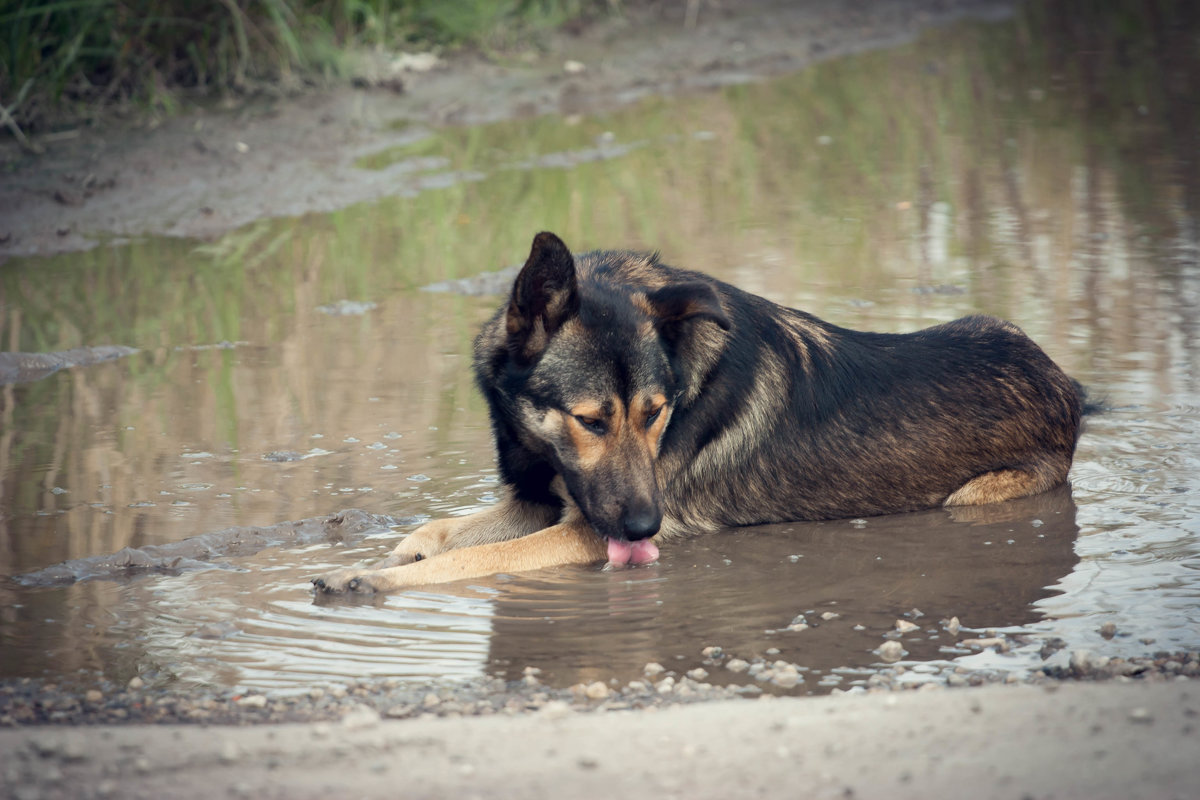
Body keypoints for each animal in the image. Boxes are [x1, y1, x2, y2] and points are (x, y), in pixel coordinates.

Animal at [314, 231, 1084, 594]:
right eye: (591, 421)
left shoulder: (584, 530)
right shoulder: (545, 499)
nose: (645, 529)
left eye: (657, 414)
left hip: (973, 498)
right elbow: (444, 531)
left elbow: (479, 556)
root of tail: (1067, 385)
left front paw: (373, 579)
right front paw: (389, 553)